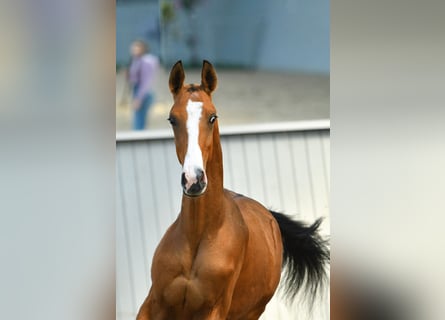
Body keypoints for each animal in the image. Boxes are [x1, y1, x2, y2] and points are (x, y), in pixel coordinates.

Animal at [135, 60, 326, 320]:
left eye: (212, 117)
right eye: (172, 119)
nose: (194, 180)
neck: (198, 236)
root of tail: (268, 215)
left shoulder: (213, 311)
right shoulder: (153, 305)